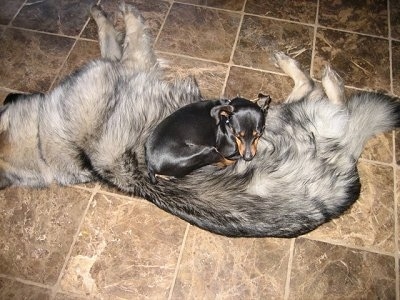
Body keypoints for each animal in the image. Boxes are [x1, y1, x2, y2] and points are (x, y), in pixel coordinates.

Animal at [0, 4, 400, 238]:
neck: (66, 144)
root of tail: (346, 170)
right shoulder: (132, 65)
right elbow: (128, 36)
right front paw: (123, 15)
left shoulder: (123, 63)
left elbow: (111, 36)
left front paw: (104, 13)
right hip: (289, 118)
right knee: (325, 95)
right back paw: (321, 77)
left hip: (278, 115)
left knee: (315, 90)